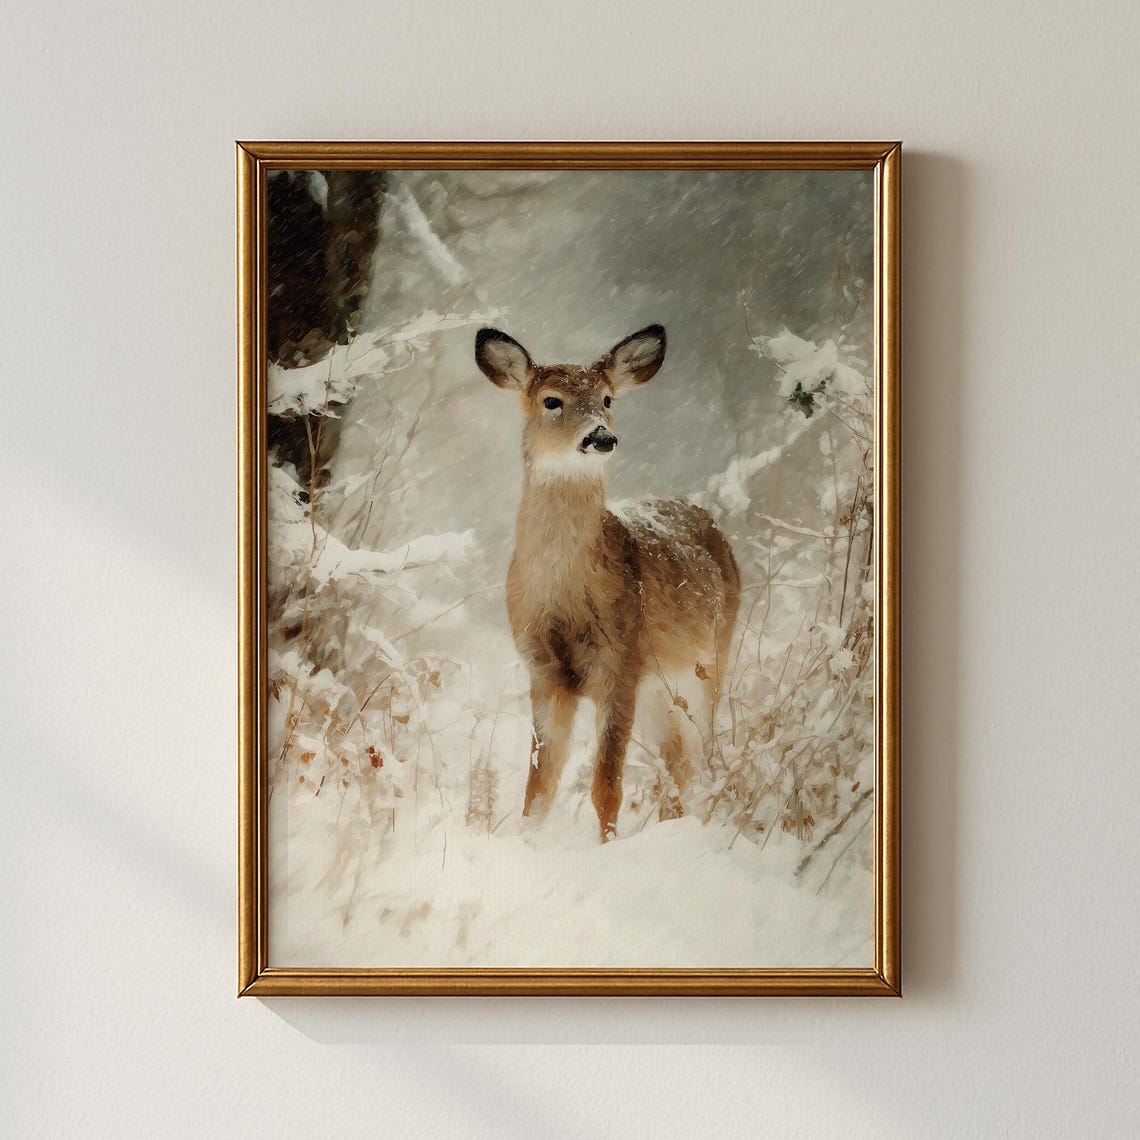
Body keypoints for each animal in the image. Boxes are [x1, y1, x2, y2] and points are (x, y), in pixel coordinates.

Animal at [475, 324, 741, 842]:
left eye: (607, 398)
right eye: (552, 400)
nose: (601, 436)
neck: (563, 596)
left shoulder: (622, 658)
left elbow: (605, 787)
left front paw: (608, 846)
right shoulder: (544, 670)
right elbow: (539, 786)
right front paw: (526, 843)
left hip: (712, 655)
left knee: (704, 751)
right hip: (661, 684)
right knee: (677, 758)